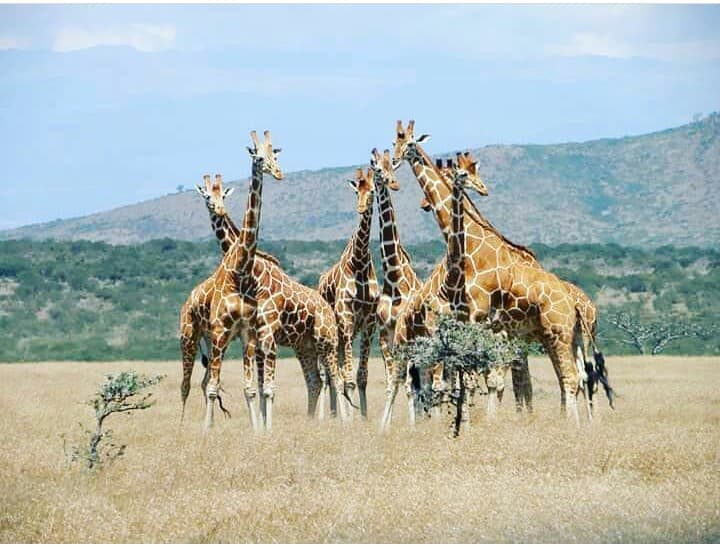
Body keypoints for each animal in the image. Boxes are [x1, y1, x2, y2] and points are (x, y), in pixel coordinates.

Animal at [392, 120, 613, 423]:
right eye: (395, 141)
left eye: (410, 142)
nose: (394, 159)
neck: (473, 246)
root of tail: (581, 305)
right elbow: (494, 380)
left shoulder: (484, 322)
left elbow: (490, 380)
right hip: (569, 337)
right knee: (579, 376)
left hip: (559, 333)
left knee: (572, 378)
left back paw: (572, 424)